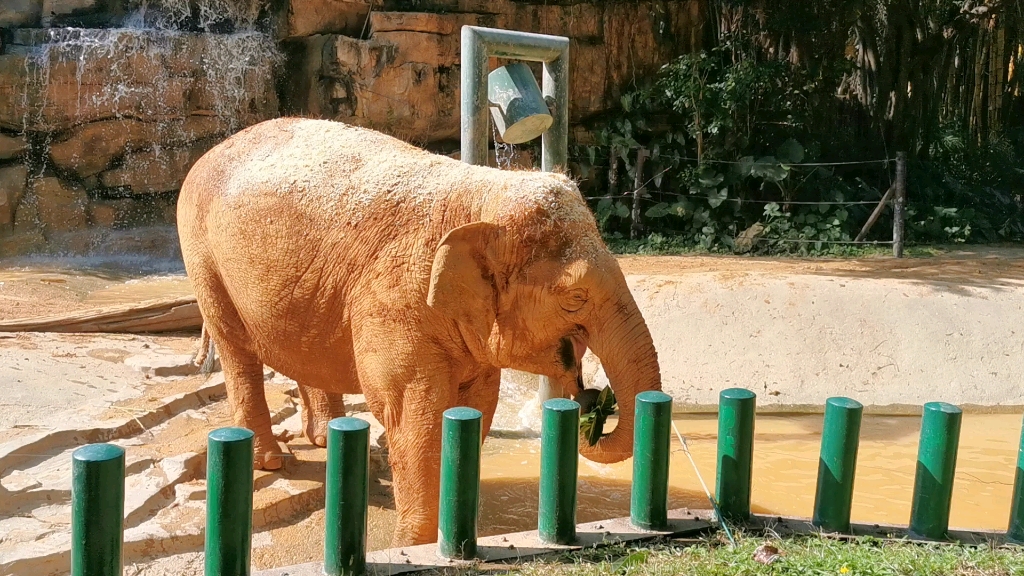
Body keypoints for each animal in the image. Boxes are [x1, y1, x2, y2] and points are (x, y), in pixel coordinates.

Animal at [178, 116, 663, 541]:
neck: (482, 195)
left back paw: (325, 439)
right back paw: (271, 462)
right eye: (575, 298)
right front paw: (410, 543)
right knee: (236, 350)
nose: (590, 402)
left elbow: (474, 408)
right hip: (202, 255)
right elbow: (412, 418)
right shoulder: (392, 304)